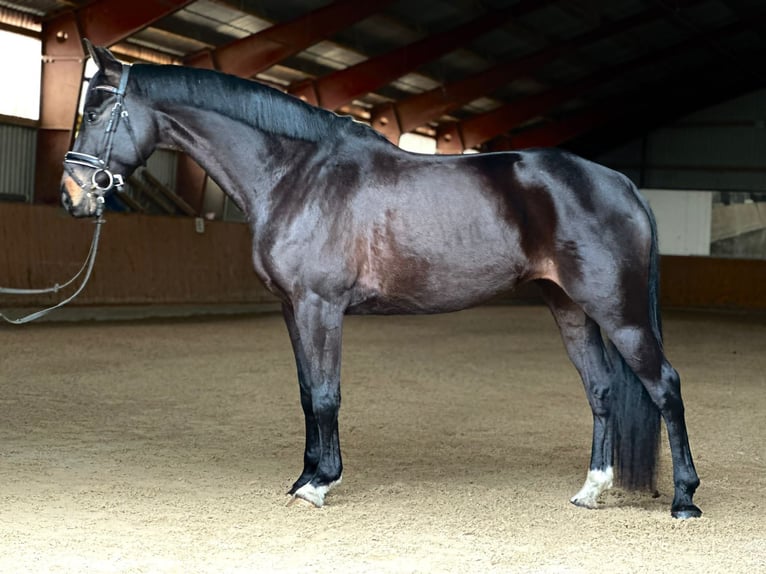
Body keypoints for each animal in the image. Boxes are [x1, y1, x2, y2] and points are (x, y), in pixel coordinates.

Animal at [58, 42, 704, 520]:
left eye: (97, 110)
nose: (72, 197)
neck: (296, 173)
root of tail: (619, 181)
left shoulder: (319, 307)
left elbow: (326, 394)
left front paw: (320, 483)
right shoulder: (292, 309)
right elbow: (306, 393)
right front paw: (305, 475)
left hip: (619, 311)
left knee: (664, 386)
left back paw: (684, 499)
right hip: (569, 307)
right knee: (601, 390)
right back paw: (591, 491)